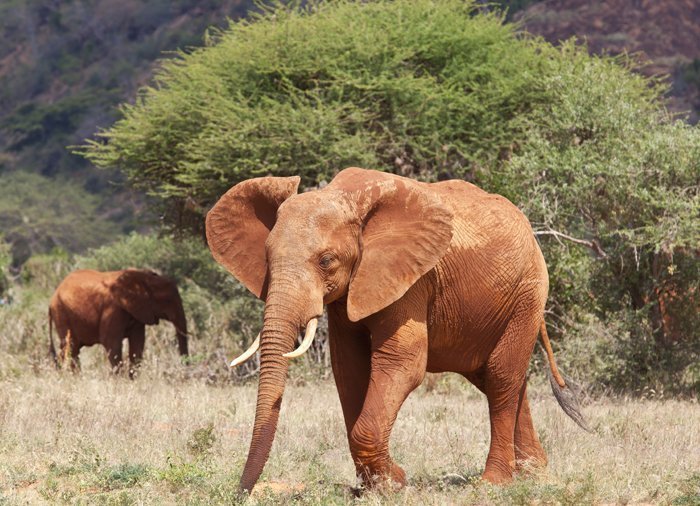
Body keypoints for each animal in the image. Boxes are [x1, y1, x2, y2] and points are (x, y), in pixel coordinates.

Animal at [206, 168, 584, 492]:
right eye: (267, 260)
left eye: (326, 261)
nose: (241, 491)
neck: (344, 197)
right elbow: (349, 368)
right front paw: (376, 485)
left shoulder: (411, 279)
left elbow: (402, 362)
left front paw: (395, 483)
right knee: (498, 378)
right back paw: (535, 474)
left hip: (528, 293)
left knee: (501, 376)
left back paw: (494, 483)